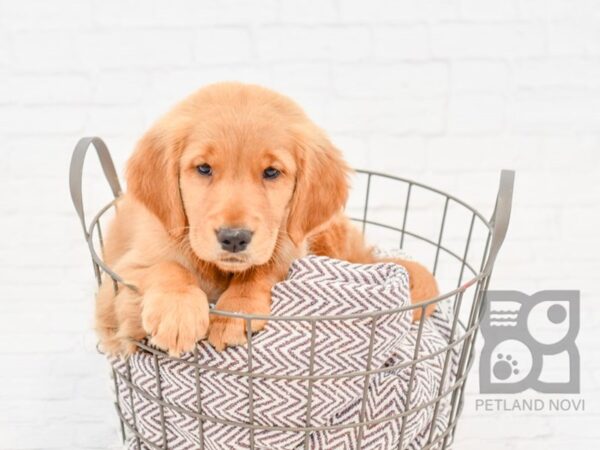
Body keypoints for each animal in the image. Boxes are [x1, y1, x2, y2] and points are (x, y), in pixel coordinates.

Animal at [97, 81, 436, 356]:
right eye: (204, 168)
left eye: (271, 172)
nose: (234, 238)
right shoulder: (118, 277)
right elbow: (167, 267)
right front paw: (177, 313)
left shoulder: (290, 246)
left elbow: (264, 267)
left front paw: (236, 309)